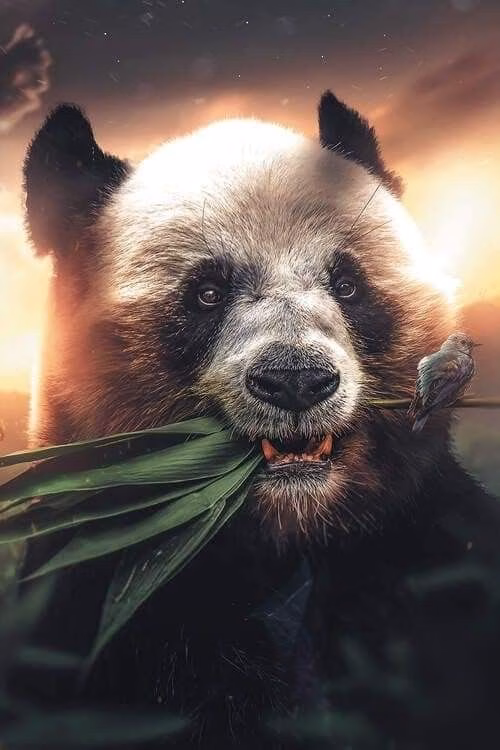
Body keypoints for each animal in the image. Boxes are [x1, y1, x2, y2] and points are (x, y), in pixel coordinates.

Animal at [16, 91, 500, 749]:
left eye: (347, 284)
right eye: (206, 293)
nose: (296, 380)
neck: (287, 533)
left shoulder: (422, 540)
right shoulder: (97, 592)